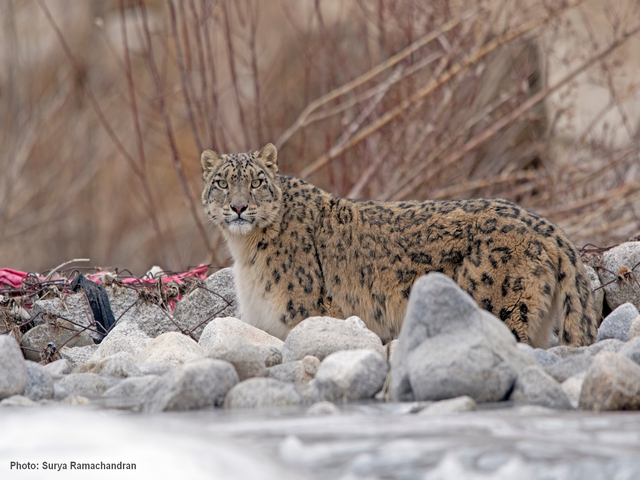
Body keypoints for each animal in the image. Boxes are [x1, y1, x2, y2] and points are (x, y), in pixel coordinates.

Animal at [201, 143, 598, 348]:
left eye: (256, 182)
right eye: (221, 182)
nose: (238, 207)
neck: (245, 253)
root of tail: (548, 226)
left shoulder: (303, 316)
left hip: (500, 308)